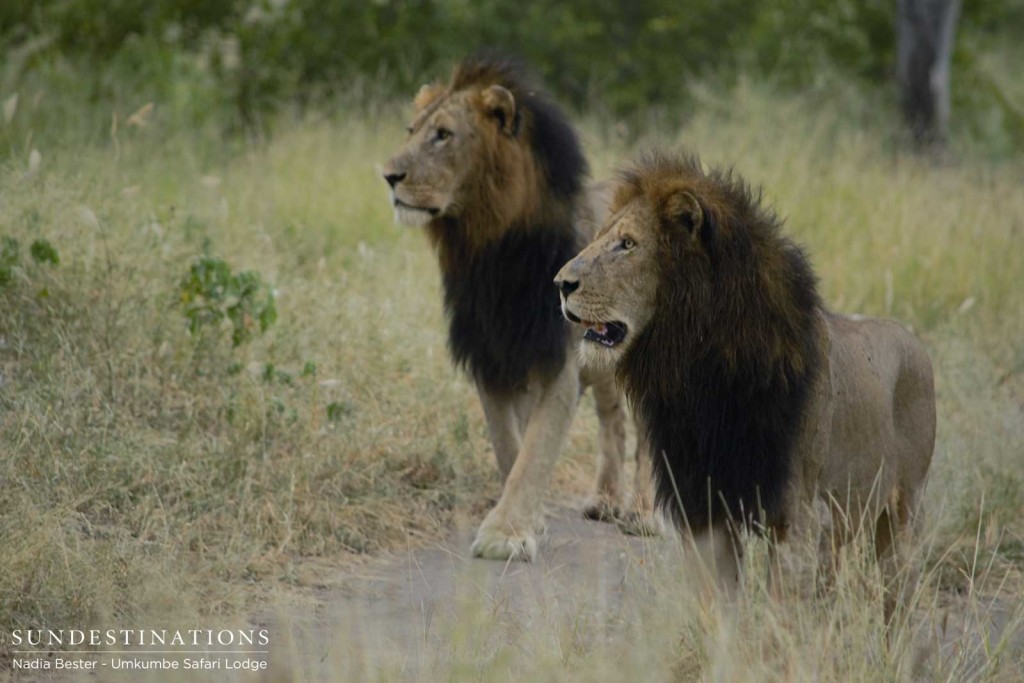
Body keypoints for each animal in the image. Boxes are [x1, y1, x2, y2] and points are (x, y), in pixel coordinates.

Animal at [382, 57, 655, 561]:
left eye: (443, 134)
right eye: (411, 130)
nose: (389, 176)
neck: (487, 254)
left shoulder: (555, 363)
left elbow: (535, 451)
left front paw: (504, 535)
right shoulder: (492, 358)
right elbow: (510, 447)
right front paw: (530, 521)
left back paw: (645, 513)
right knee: (613, 419)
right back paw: (606, 500)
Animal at [557, 150, 937, 626]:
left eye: (627, 244)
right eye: (601, 237)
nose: (560, 283)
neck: (700, 378)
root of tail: (914, 341)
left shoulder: (797, 518)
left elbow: (780, 619)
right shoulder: (703, 510)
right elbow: (718, 612)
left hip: (904, 514)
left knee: (895, 598)